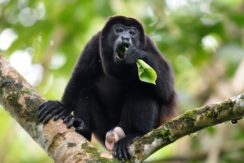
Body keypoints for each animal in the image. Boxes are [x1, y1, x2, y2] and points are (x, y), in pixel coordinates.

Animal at [39, 15, 177, 161]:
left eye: (132, 33)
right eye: (119, 29)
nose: (126, 38)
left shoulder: (149, 44)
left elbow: (167, 89)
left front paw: (138, 54)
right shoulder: (94, 42)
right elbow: (79, 77)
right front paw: (61, 107)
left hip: (129, 125)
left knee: (141, 90)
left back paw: (136, 134)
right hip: (103, 129)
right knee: (85, 90)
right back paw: (83, 130)